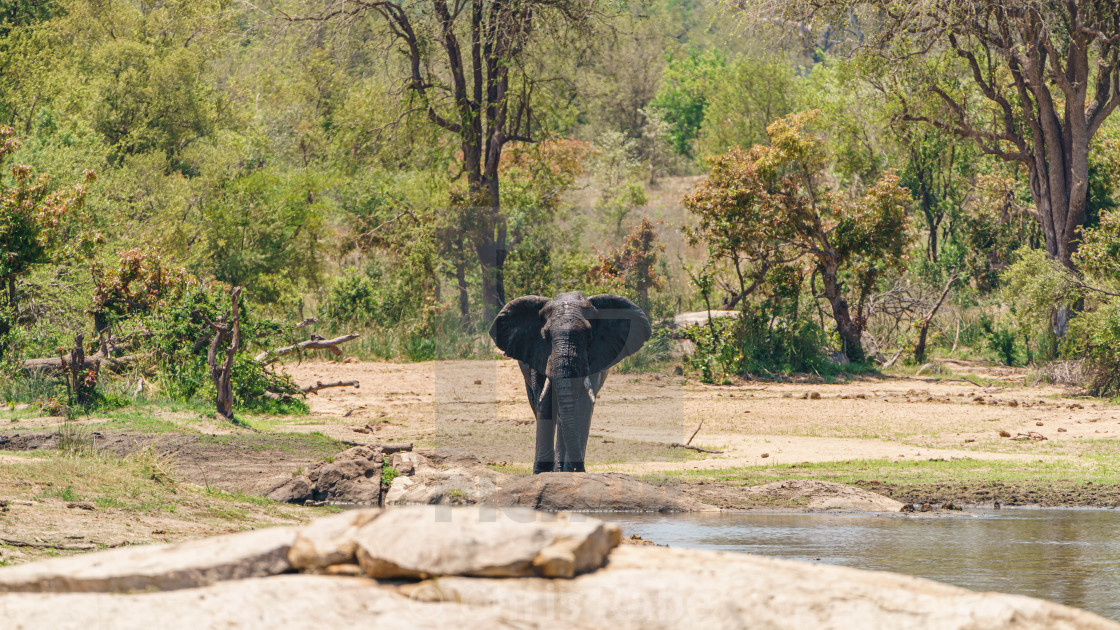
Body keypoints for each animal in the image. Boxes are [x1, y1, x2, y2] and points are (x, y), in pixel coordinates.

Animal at [488, 291, 654, 473]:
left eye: (589, 335)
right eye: (546, 336)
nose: (578, 468)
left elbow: (583, 404)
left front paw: (570, 471)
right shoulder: (537, 353)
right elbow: (546, 402)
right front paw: (541, 472)